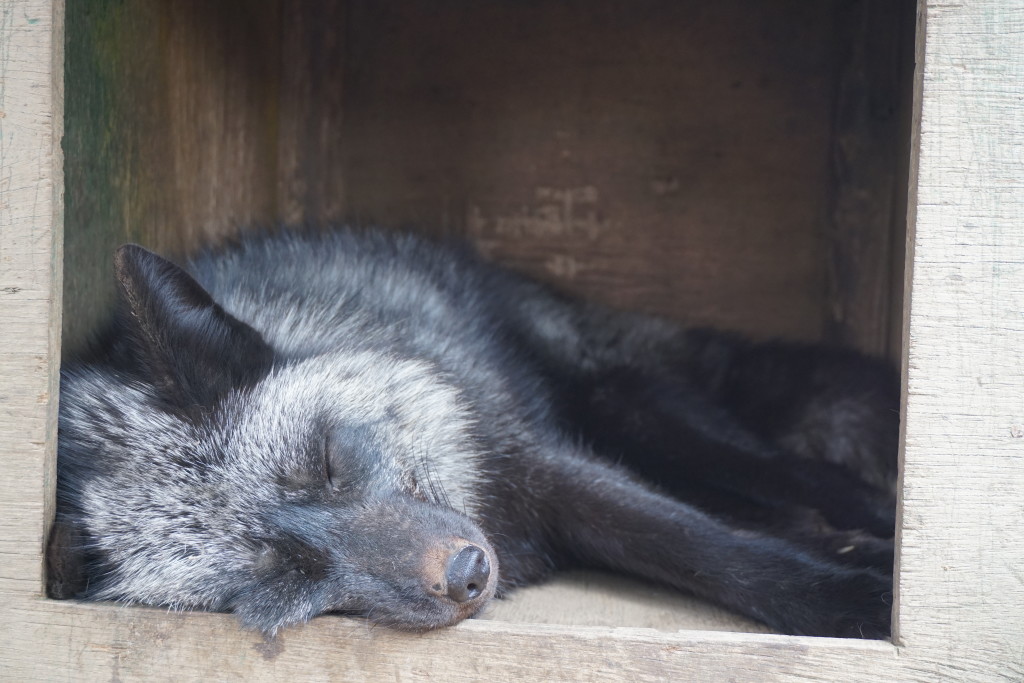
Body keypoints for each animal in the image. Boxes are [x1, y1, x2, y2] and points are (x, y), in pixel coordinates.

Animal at [49, 227, 897, 638]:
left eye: (327, 460)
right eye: (283, 576)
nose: (467, 573)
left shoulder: (535, 458)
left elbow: (700, 546)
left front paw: (859, 603)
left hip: (639, 409)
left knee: (795, 480)